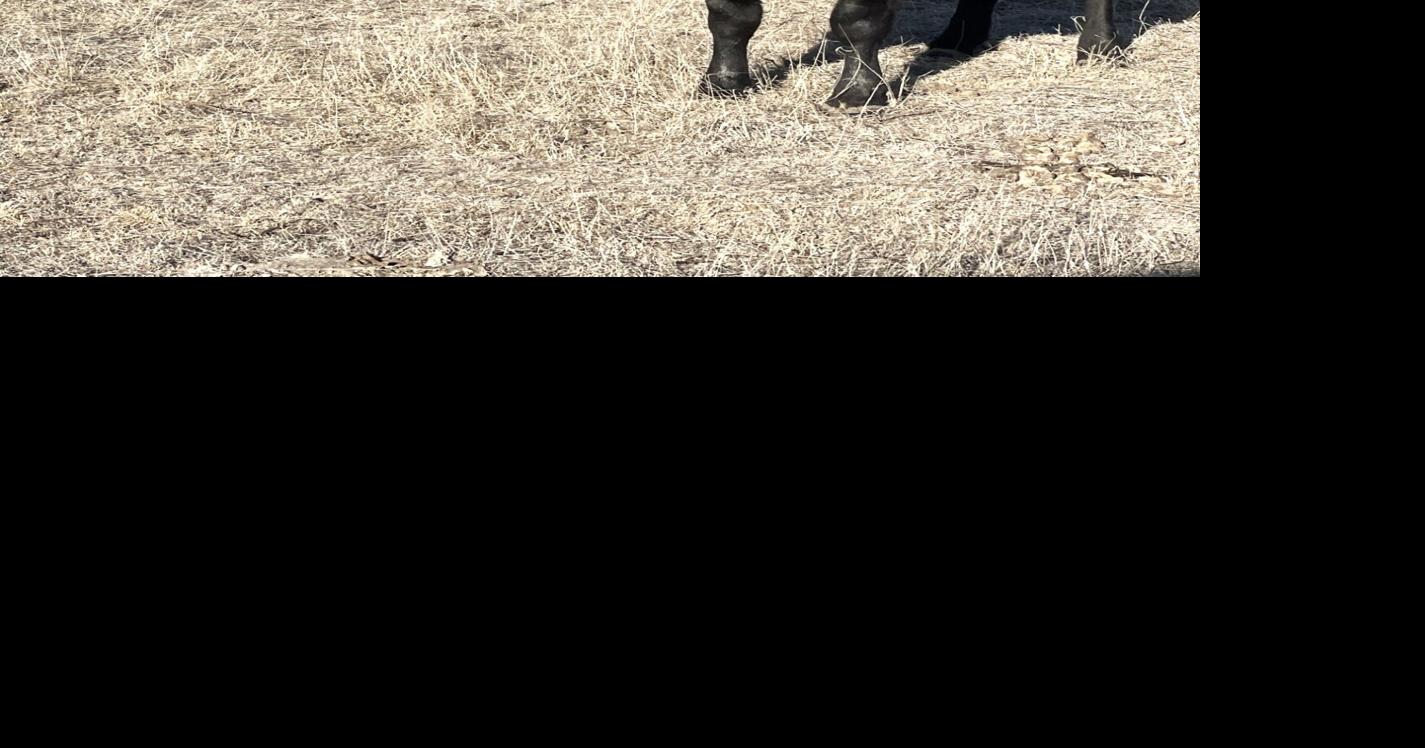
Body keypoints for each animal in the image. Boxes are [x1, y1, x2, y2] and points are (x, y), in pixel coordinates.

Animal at [702, 0, 1122, 111]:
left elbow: (858, 17)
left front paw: (858, 92)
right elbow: (731, 14)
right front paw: (724, 82)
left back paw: (1098, 47)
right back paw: (959, 37)